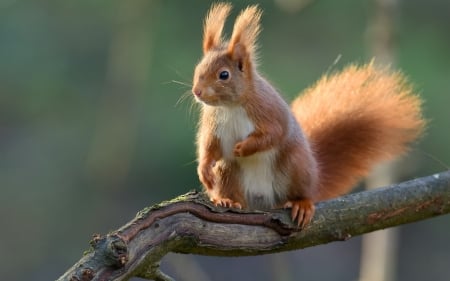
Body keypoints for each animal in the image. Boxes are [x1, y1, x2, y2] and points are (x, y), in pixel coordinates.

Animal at [191, 3, 426, 226]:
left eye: (224, 75)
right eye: (198, 68)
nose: (197, 92)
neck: (230, 106)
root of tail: (263, 200)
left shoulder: (269, 111)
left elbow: (273, 134)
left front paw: (243, 147)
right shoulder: (213, 124)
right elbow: (209, 146)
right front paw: (204, 171)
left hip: (296, 165)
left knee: (302, 192)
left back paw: (301, 204)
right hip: (228, 171)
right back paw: (227, 200)